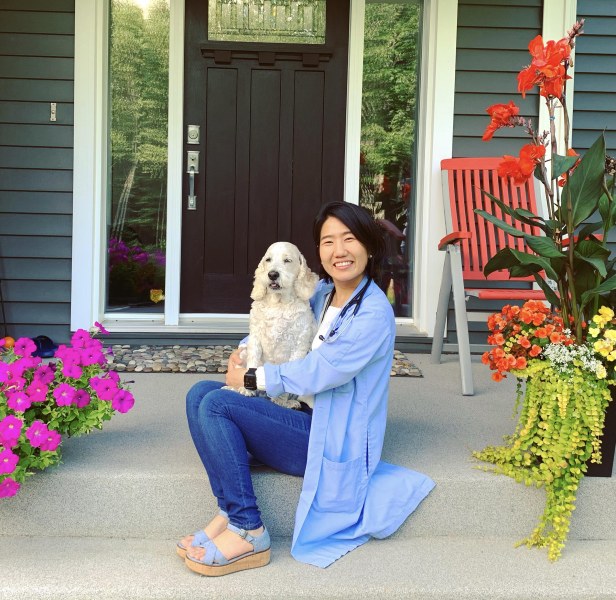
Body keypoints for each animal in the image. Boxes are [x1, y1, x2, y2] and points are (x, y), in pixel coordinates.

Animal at [229, 241, 320, 410]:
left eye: (287, 260)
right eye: (268, 260)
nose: (272, 274)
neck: (278, 303)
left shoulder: (299, 346)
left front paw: (281, 401)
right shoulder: (255, 338)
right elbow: (252, 362)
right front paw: (246, 389)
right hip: (243, 353)